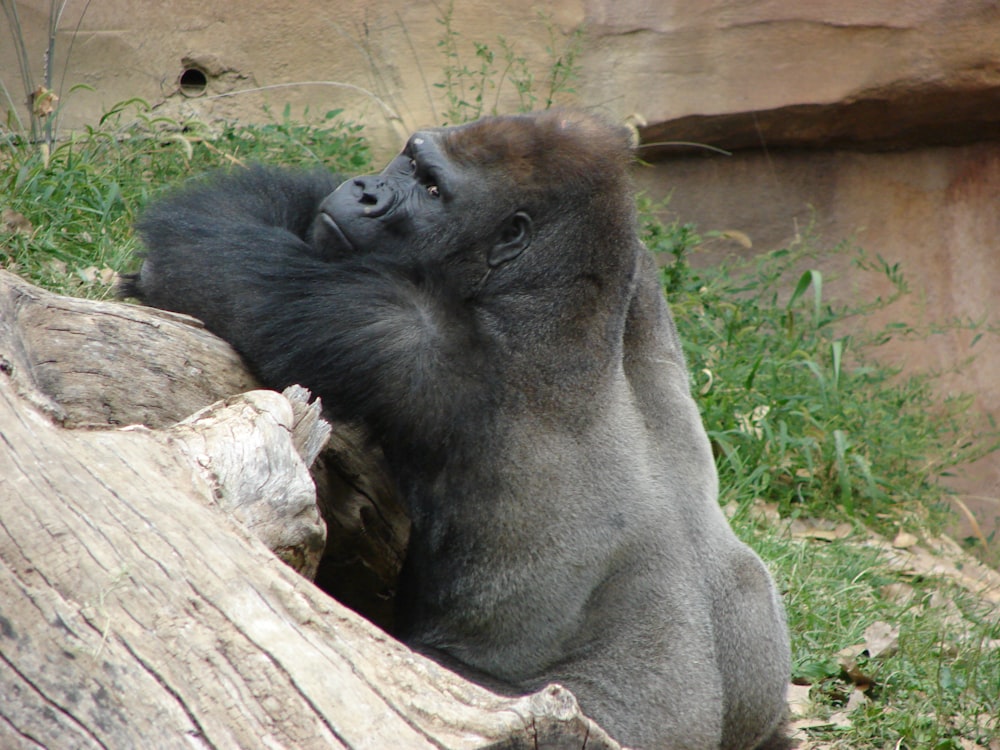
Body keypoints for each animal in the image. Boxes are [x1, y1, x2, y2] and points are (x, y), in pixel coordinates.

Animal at [119, 111, 788, 750]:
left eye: (433, 188)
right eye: (409, 162)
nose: (365, 190)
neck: (553, 291)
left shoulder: (407, 333)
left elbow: (217, 255)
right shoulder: (640, 269)